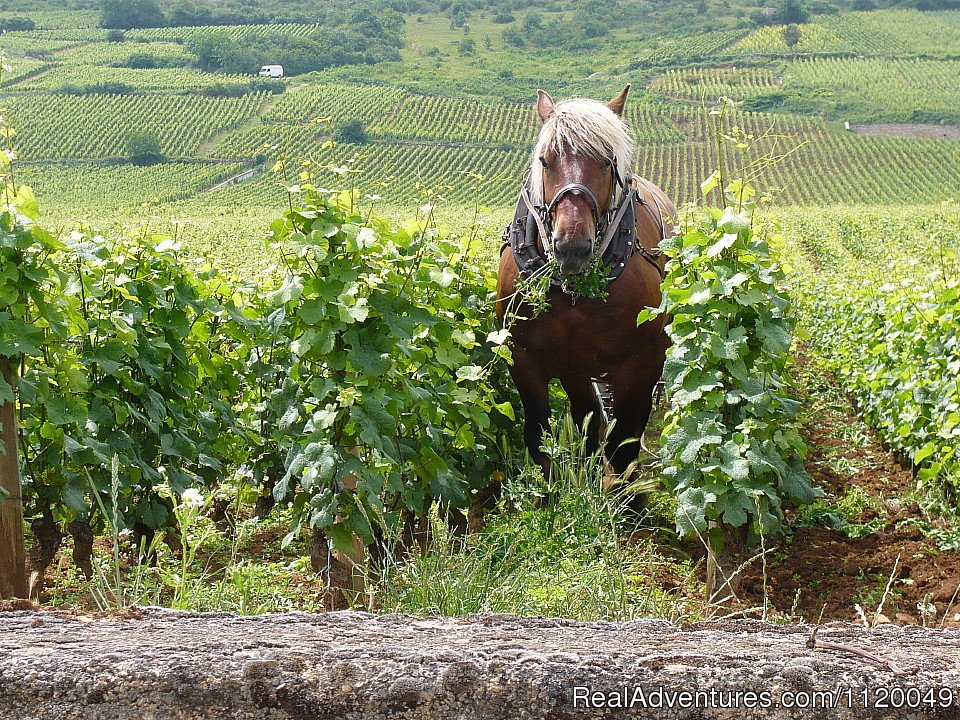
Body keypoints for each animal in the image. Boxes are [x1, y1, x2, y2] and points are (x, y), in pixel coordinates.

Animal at [498, 87, 672, 486]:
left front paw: (621, 498)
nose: (572, 248)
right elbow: (541, 436)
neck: (574, 293)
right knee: (588, 418)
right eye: (545, 161)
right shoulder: (524, 357)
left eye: (607, 162)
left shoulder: (640, 362)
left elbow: (623, 445)